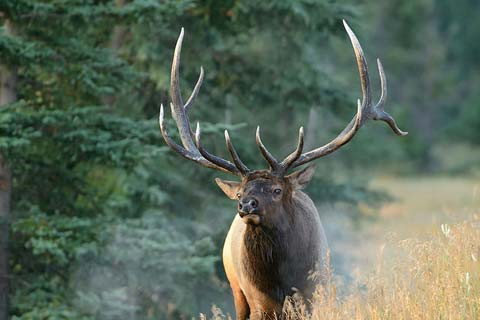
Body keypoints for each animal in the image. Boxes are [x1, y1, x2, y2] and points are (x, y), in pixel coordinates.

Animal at [159, 20, 406, 320]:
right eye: (240, 191)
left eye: (277, 190)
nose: (246, 204)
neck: (283, 280)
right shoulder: (259, 303)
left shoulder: (313, 294)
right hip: (236, 289)